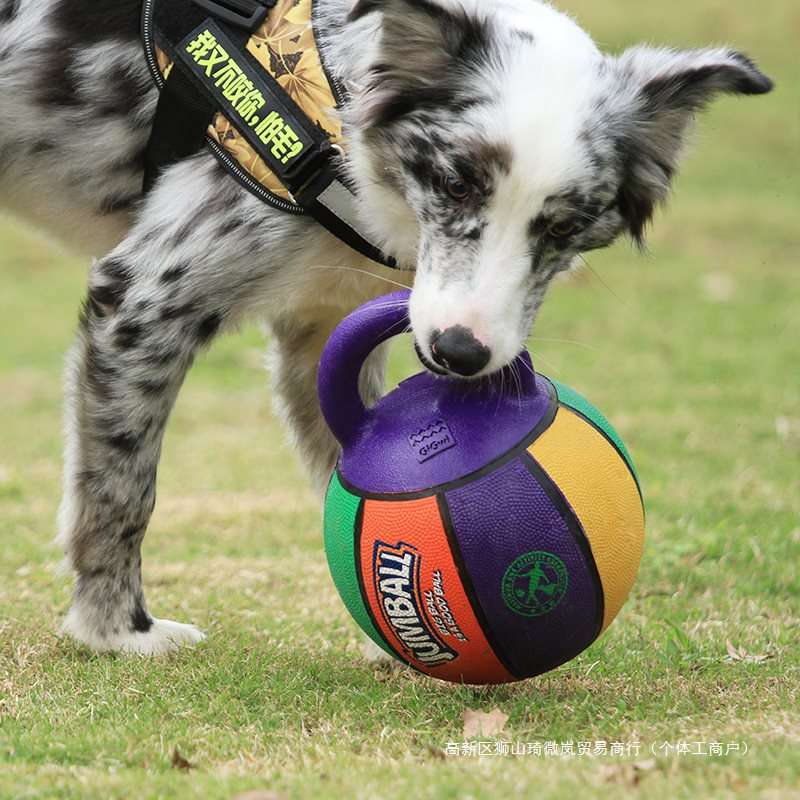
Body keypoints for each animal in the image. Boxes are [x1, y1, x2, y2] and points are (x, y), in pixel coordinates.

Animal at [1, 0, 776, 652]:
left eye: (562, 227)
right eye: (456, 184)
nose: (461, 354)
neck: (330, 103)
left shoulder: (320, 327)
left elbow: (343, 456)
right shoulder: (143, 299)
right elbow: (122, 488)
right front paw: (115, 630)